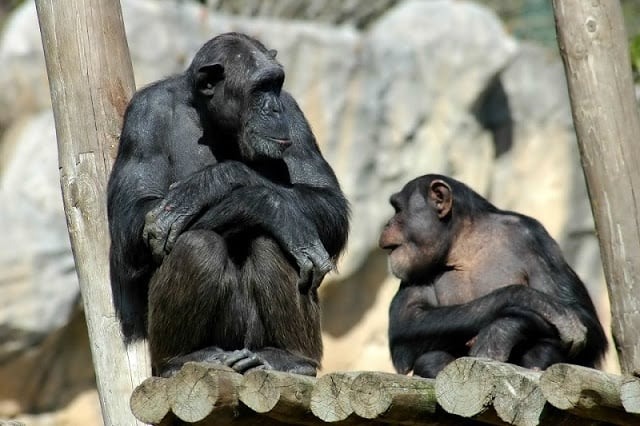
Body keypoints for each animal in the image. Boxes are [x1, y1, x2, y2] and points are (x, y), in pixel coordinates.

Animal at [109, 34, 350, 380]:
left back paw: (291, 359)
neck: (208, 120)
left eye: (276, 85)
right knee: (196, 243)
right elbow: (130, 223)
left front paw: (230, 189)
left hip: (252, 340)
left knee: (273, 240)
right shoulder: (142, 117)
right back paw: (182, 359)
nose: (274, 107)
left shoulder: (294, 114)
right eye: (260, 88)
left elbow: (327, 199)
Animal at [380, 175, 604, 378]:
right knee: (430, 357)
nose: (387, 223)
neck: (464, 245)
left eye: (398, 210)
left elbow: (583, 318)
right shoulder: (411, 268)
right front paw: (533, 300)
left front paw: (500, 333)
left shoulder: (536, 238)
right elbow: (407, 322)